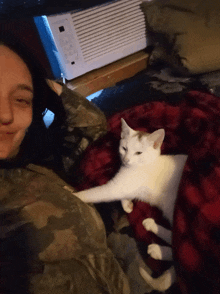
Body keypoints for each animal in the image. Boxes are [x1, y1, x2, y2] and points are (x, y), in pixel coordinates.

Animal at [73, 119, 187, 292]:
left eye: (138, 153)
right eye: (124, 148)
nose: (126, 160)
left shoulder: (117, 187)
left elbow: (96, 193)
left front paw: (73, 194)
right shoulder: (125, 186)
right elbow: (124, 196)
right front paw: (127, 204)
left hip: (172, 206)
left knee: (179, 247)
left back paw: (157, 250)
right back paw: (151, 226)